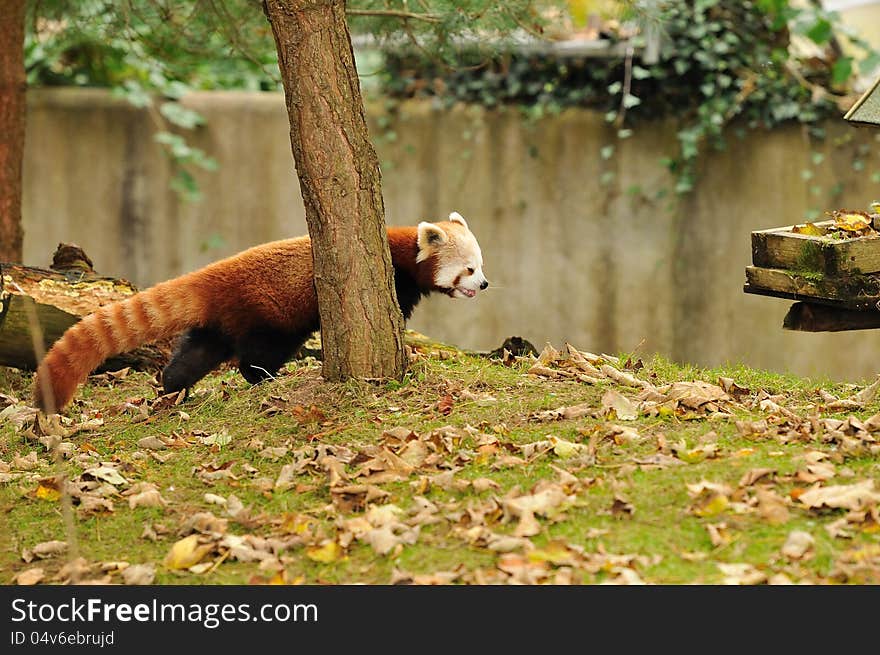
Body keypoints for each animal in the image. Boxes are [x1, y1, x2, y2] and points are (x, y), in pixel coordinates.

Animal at [32, 213, 488, 412]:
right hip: (265, 315)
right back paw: (266, 378)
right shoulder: (393, 277)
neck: (402, 250)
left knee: (195, 355)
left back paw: (173, 387)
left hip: (217, 325)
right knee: (255, 355)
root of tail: (211, 277)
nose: (483, 285)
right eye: (469, 268)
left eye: (481, 266)